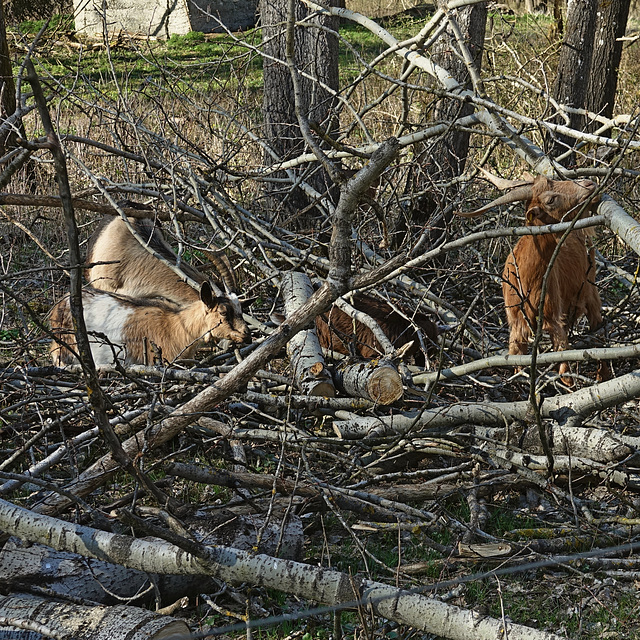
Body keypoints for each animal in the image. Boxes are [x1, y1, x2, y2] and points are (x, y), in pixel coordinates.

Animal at [458, 174, 604, 380]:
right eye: (550, 200)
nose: (589, 184)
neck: (527, 277)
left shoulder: (553, 315)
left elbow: (563, 358)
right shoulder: (516, 320)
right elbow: (516, 356)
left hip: (590, 289)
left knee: (597, 323)